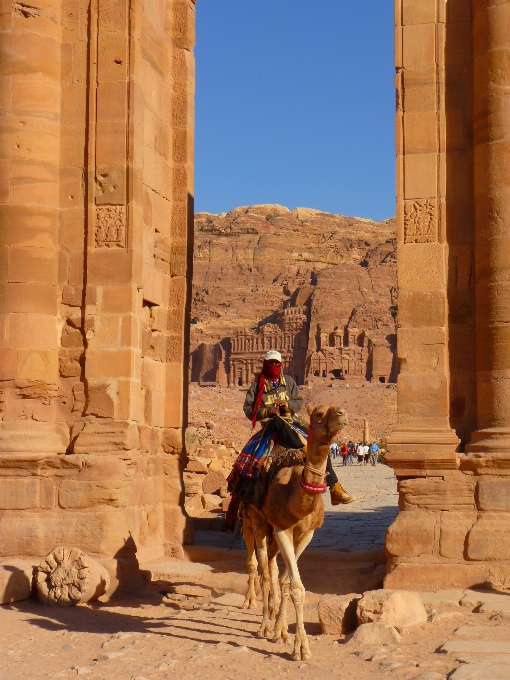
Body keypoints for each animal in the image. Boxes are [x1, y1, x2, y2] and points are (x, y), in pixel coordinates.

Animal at [239, 404, 346, 660]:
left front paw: (284, 632)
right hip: (253, 522)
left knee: (271, 567)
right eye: (318, 414)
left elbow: (287, 582)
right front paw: (301, 648)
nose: (341, 414)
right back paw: (261, 621)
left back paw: (273, 618)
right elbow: (295, 586)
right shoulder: (281, 529)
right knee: (260, 569)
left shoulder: (306, 535)